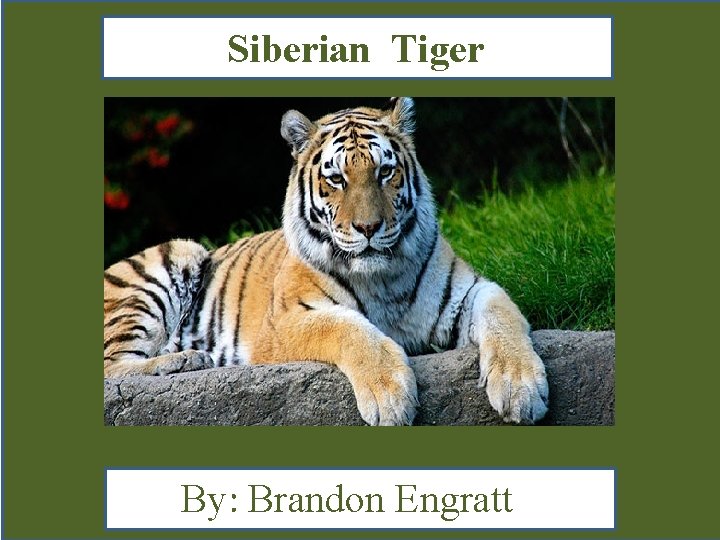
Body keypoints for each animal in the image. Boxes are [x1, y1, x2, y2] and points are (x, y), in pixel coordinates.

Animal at [104, 97, 549, 426]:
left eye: (385, 172)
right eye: (336, 179)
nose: (368, 227)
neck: (383, 279)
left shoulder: (470, 289)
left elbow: (501, 312)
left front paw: (521, 388)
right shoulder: (284, 322)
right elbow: (347, 328)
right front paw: (389, 397)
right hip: (175, 257)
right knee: (112, 368)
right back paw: (185, 360)